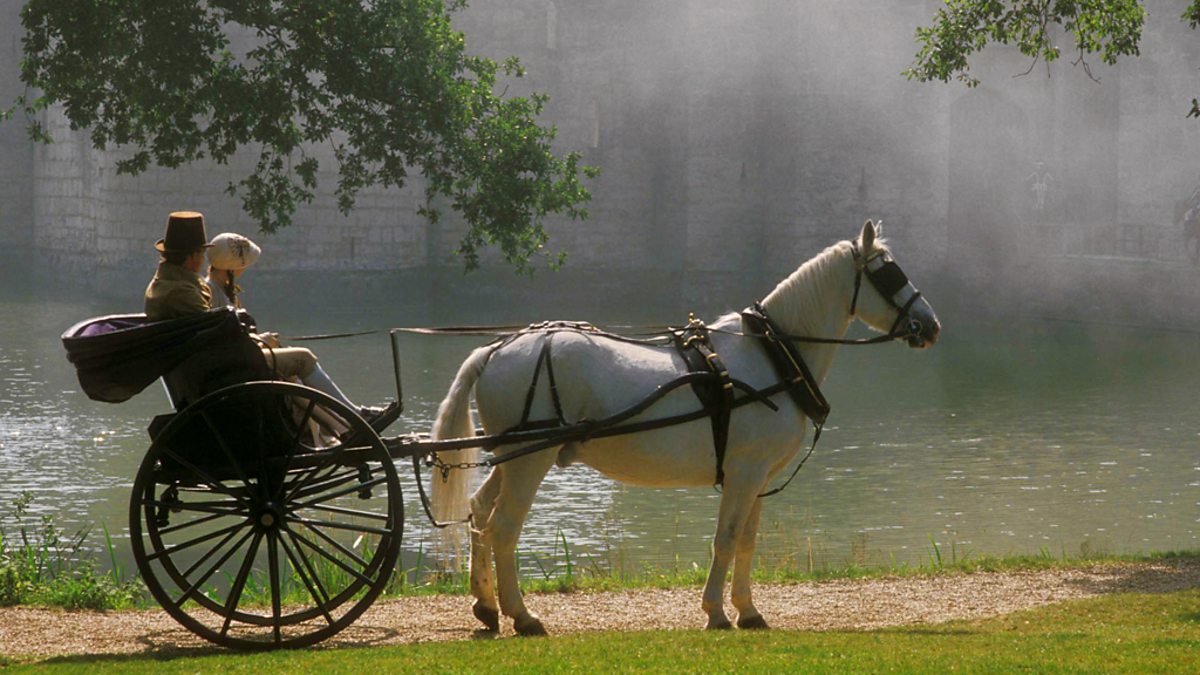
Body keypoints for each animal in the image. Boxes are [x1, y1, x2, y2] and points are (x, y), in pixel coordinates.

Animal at [429, 219, 936, 629]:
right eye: (890, 272)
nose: (930, 325)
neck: (769, 356)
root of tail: (497, 349)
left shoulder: (757, 478)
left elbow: (746, 542)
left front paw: (747, 609)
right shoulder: (744, 474)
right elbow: (724, 540)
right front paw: (716, 612)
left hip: (512, 458)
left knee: (479, 512)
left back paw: (487, 606)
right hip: (530, 461)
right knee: (503, 528)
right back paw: (522, 615)